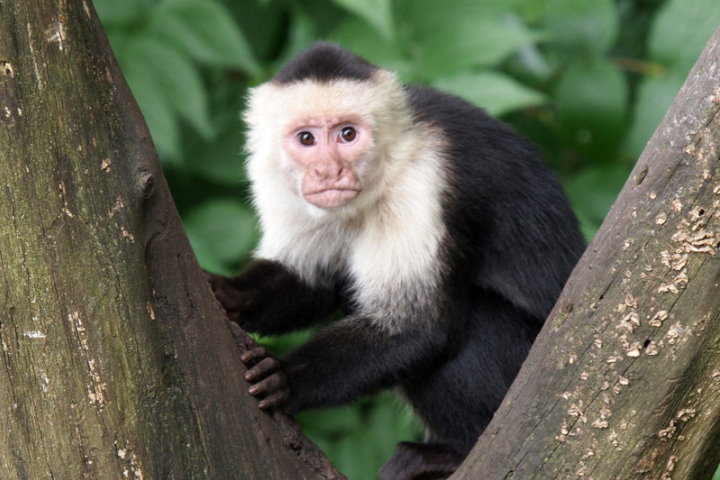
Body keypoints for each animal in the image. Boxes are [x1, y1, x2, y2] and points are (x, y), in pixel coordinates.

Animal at [208, 42, 584, 480]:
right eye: (306, 139)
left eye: (347, 134)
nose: (329, 170)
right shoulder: (275, 181)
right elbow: (313, 282)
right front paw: (228, 293)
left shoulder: (421, 180)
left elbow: (415, 326)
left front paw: (285, 379)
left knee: (472, 322)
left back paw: (453, 454)